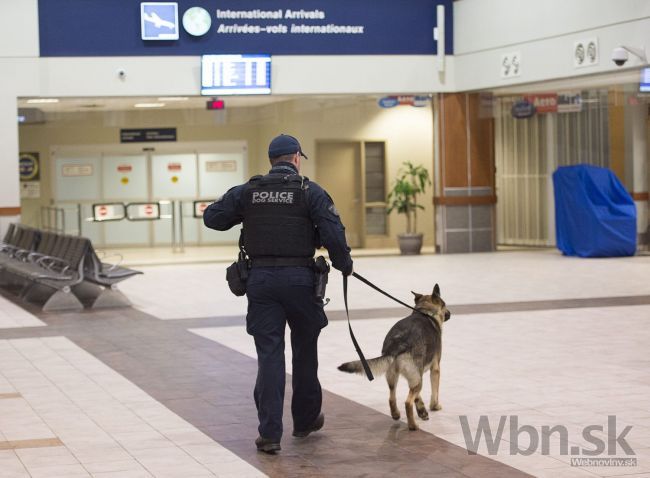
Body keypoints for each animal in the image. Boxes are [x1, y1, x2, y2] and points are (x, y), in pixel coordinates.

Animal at [336, 284, 448, 430]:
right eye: (444, 305)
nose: (449, 313)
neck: (425, 312)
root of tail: (398, 344)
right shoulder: (435, 369)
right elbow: (435, 392)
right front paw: (434, 406)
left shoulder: (416, 376)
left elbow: (418, 397)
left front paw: (422, 410)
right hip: (416, 380)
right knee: (407, 402)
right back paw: (413, 425)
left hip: (396, 377)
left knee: (392, 398)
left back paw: (396, 414)